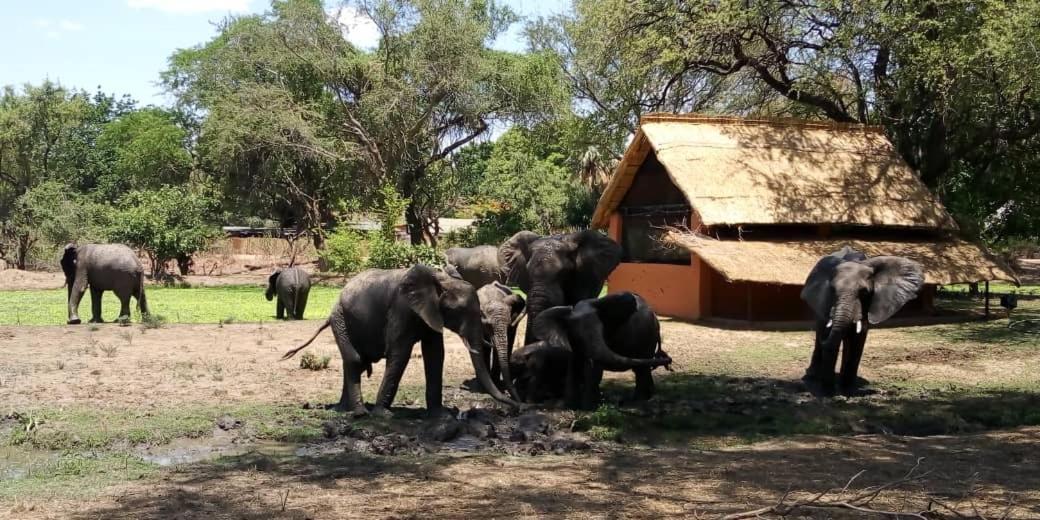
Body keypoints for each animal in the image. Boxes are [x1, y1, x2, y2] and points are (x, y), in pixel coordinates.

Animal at [280, 266, 520, 416]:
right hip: (340, 319)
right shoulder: (402, 308)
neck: (440, 279)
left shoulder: (430, 313)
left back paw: (344, 410)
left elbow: (435, 354)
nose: (518, 406)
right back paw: (359, 413)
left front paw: (440, 415)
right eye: (459, 311)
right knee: (354, 359)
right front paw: (384, 414)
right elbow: (400, 352)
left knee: (353, 362)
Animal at [528, 291, 673, 407]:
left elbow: (594, 368)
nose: (669, 361)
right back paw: (647, 397)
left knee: (641, 369)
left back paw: (638, 401)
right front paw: (570, 406)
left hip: (646, 337)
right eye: (577, 335)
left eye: (602, 330)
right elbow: (573, 364)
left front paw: (588, 407)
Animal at [798, 245, 923, 395]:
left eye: (864, 292)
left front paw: (848, 390)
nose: (830, 391)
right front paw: (829, 392)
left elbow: (858, 339)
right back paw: (812, 376)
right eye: (832, 290)